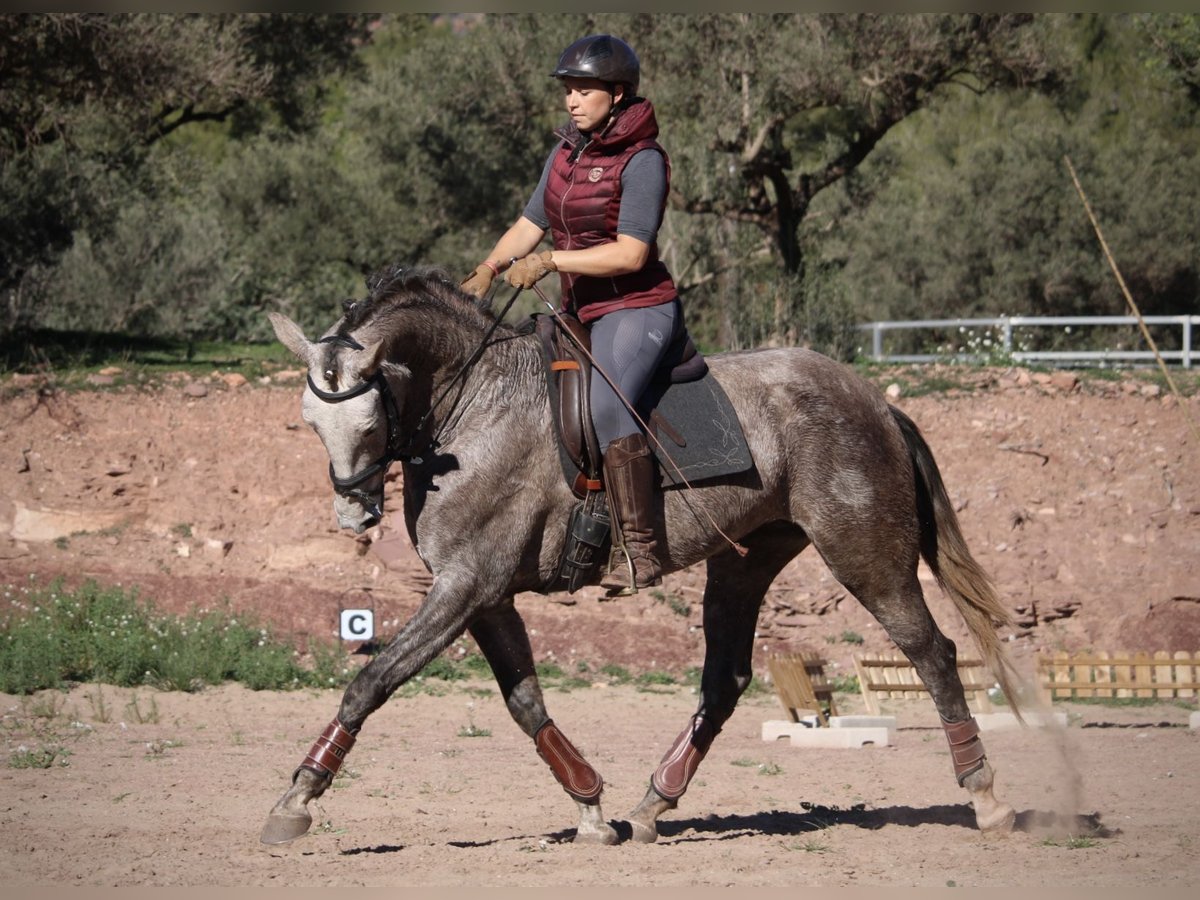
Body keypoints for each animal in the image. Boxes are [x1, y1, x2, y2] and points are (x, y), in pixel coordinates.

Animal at [260, 264, 1022, 849]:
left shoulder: (465, 586)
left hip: (864, 555)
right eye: (308, 421)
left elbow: (372, 682)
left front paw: (296, 800)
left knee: (931, 654)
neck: (474, 404)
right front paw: (591, 806)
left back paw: (987, 797)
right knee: (725, 681)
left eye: (367, 422)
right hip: (744, 562)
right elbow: (525, 702)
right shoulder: (485, 595)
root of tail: (875, 402)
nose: (353, 514)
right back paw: (654, 804)